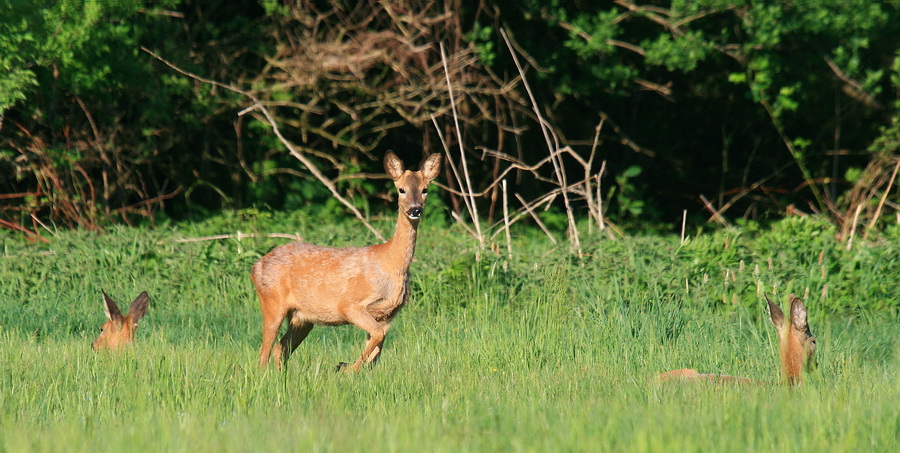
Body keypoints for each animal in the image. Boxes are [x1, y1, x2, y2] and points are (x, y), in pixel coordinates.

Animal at [251, 152, 442, 370]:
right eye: (401, 189)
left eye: (425, 189)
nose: (415, 209)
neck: (392, 265)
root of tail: (255, 266)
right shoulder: (350, 304)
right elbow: (376, 337)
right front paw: (346, 368)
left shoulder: (388, 314)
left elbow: (376, 349)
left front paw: (354, 369)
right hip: (272, 300)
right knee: (264, 351)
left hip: (302, 318)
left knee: (280, 347)